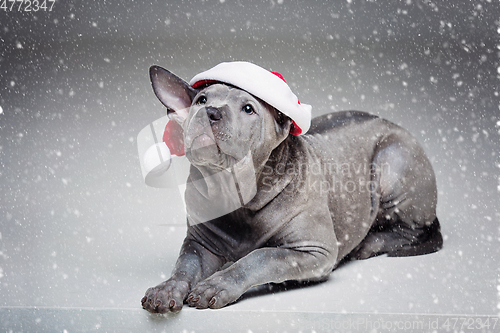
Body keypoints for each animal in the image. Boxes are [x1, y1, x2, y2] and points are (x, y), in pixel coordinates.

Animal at [141, 63, 442, 312]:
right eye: (201, 100)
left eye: (248, 108)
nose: (210, 112)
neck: (235, 191)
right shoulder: (199, 244)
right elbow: (185, 265)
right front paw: (166, 289)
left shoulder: (314, 251)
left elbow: (261, 256)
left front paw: (219, 284)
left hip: (392, 163)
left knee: (411, 229)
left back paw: (370, 242)